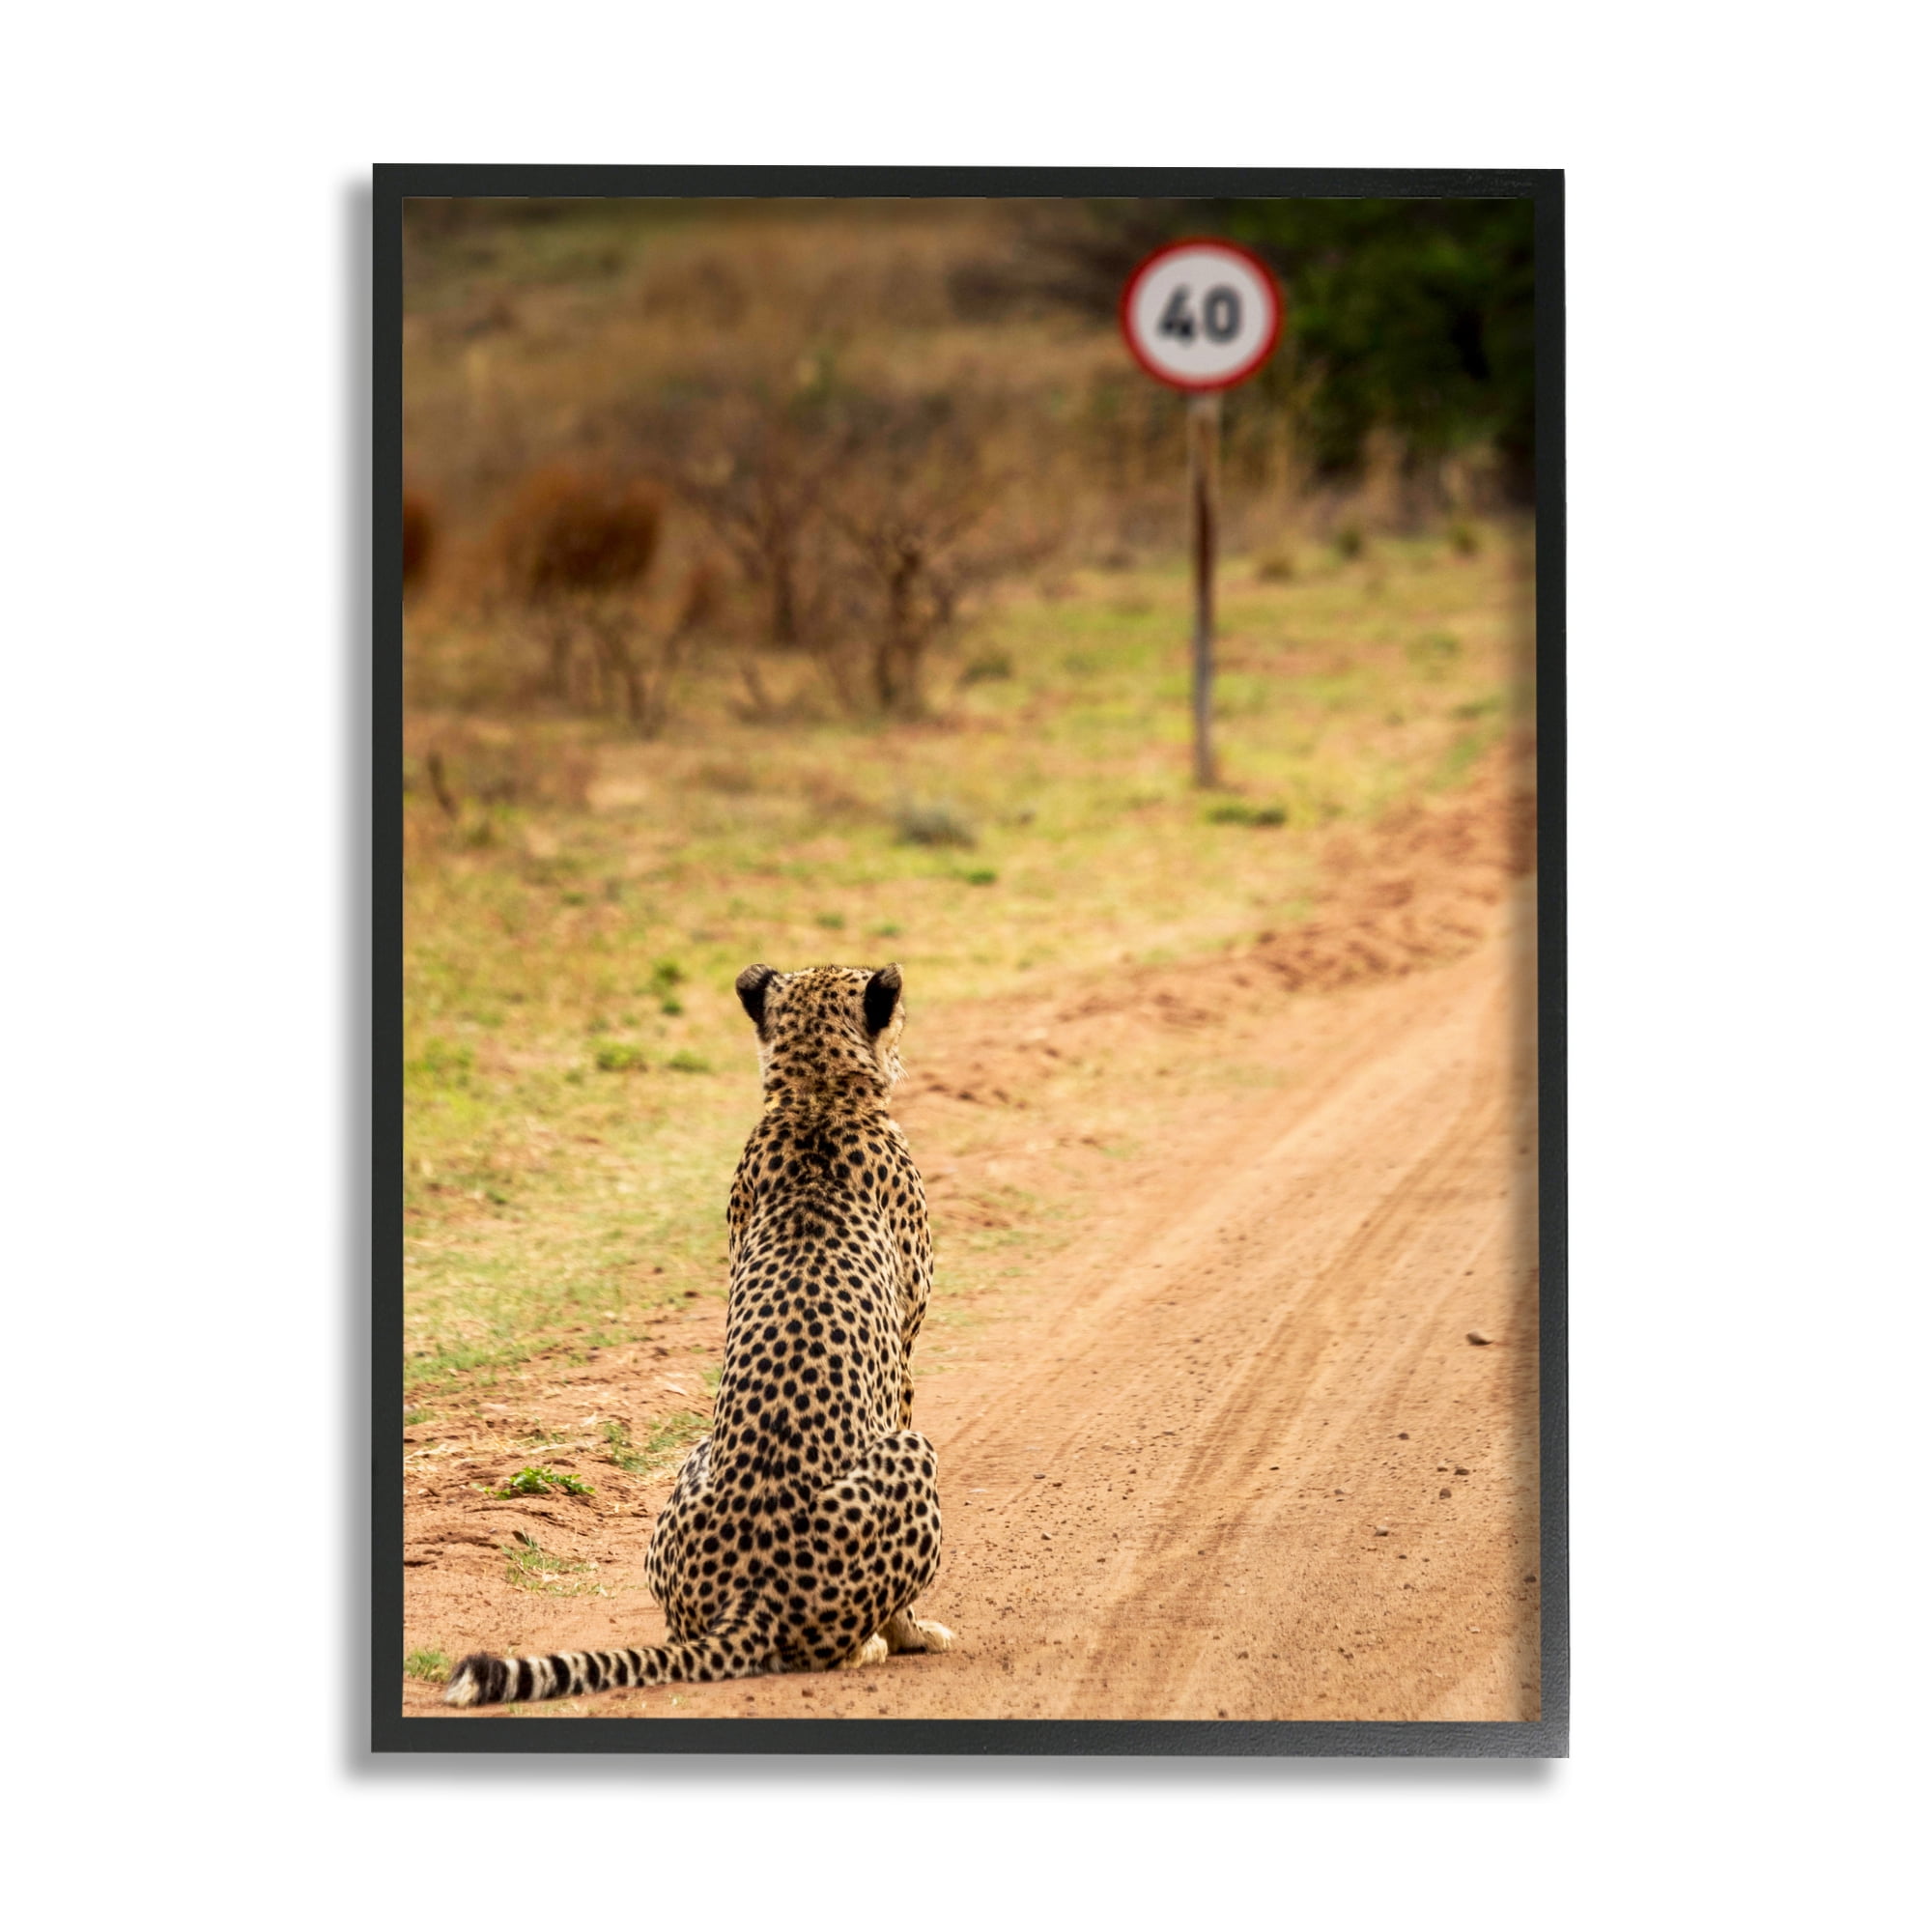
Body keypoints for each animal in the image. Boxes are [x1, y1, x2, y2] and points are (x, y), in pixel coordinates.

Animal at [444, 961, 955, 1707]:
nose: (909, 1046)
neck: (815, 1097)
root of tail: (749, 1598)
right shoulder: (905, 1356)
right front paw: (916, 1631)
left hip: (693, 1463)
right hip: (912, 1454)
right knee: (829, 1648)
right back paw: (871, 1645)